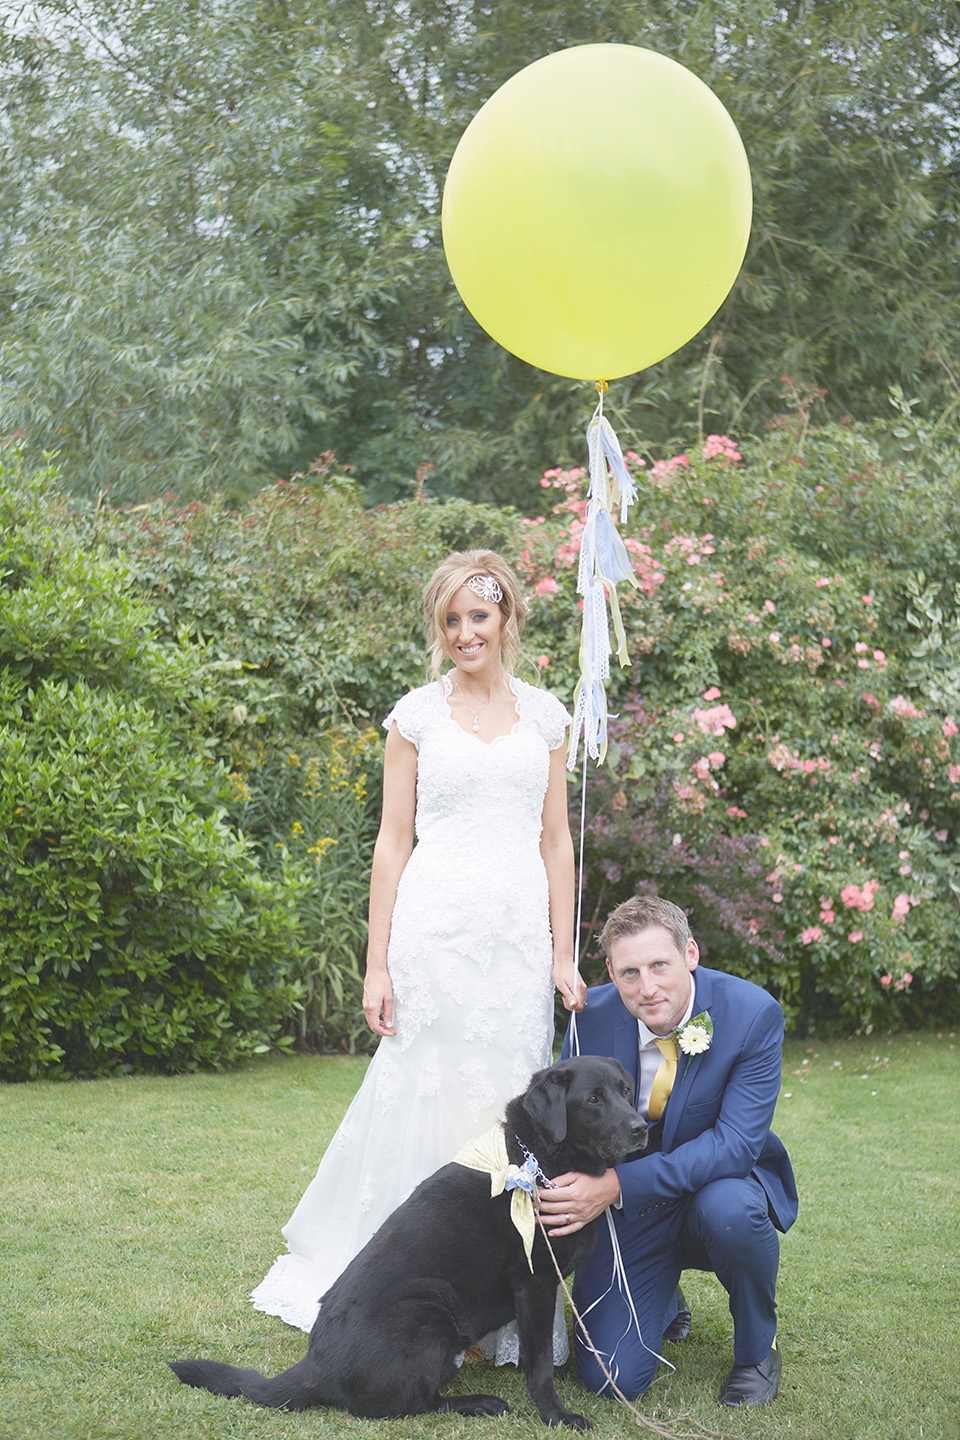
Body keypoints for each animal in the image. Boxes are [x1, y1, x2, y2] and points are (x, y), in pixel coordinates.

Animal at [169, 1054, 650, 1434]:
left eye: (626, 1091)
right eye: (592, 1099)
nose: (642, 1127)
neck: (542, 1159)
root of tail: (316, 1365)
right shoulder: (534, 1283)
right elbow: (540, 1363)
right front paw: (556, 1416)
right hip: (431, 1310)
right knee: (415, 1404)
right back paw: (478, 1403)